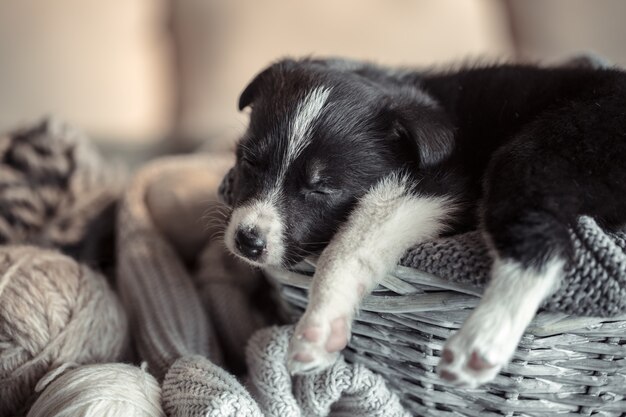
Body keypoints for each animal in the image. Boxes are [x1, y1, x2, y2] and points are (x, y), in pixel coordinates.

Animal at [222, 56, 624, 386]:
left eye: (321, 188)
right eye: (250, 161)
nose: (248, 241)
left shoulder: (439, 190)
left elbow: (349, 246)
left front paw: (317, 330)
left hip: (543, 150)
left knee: (545, 243)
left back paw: (480, 342)